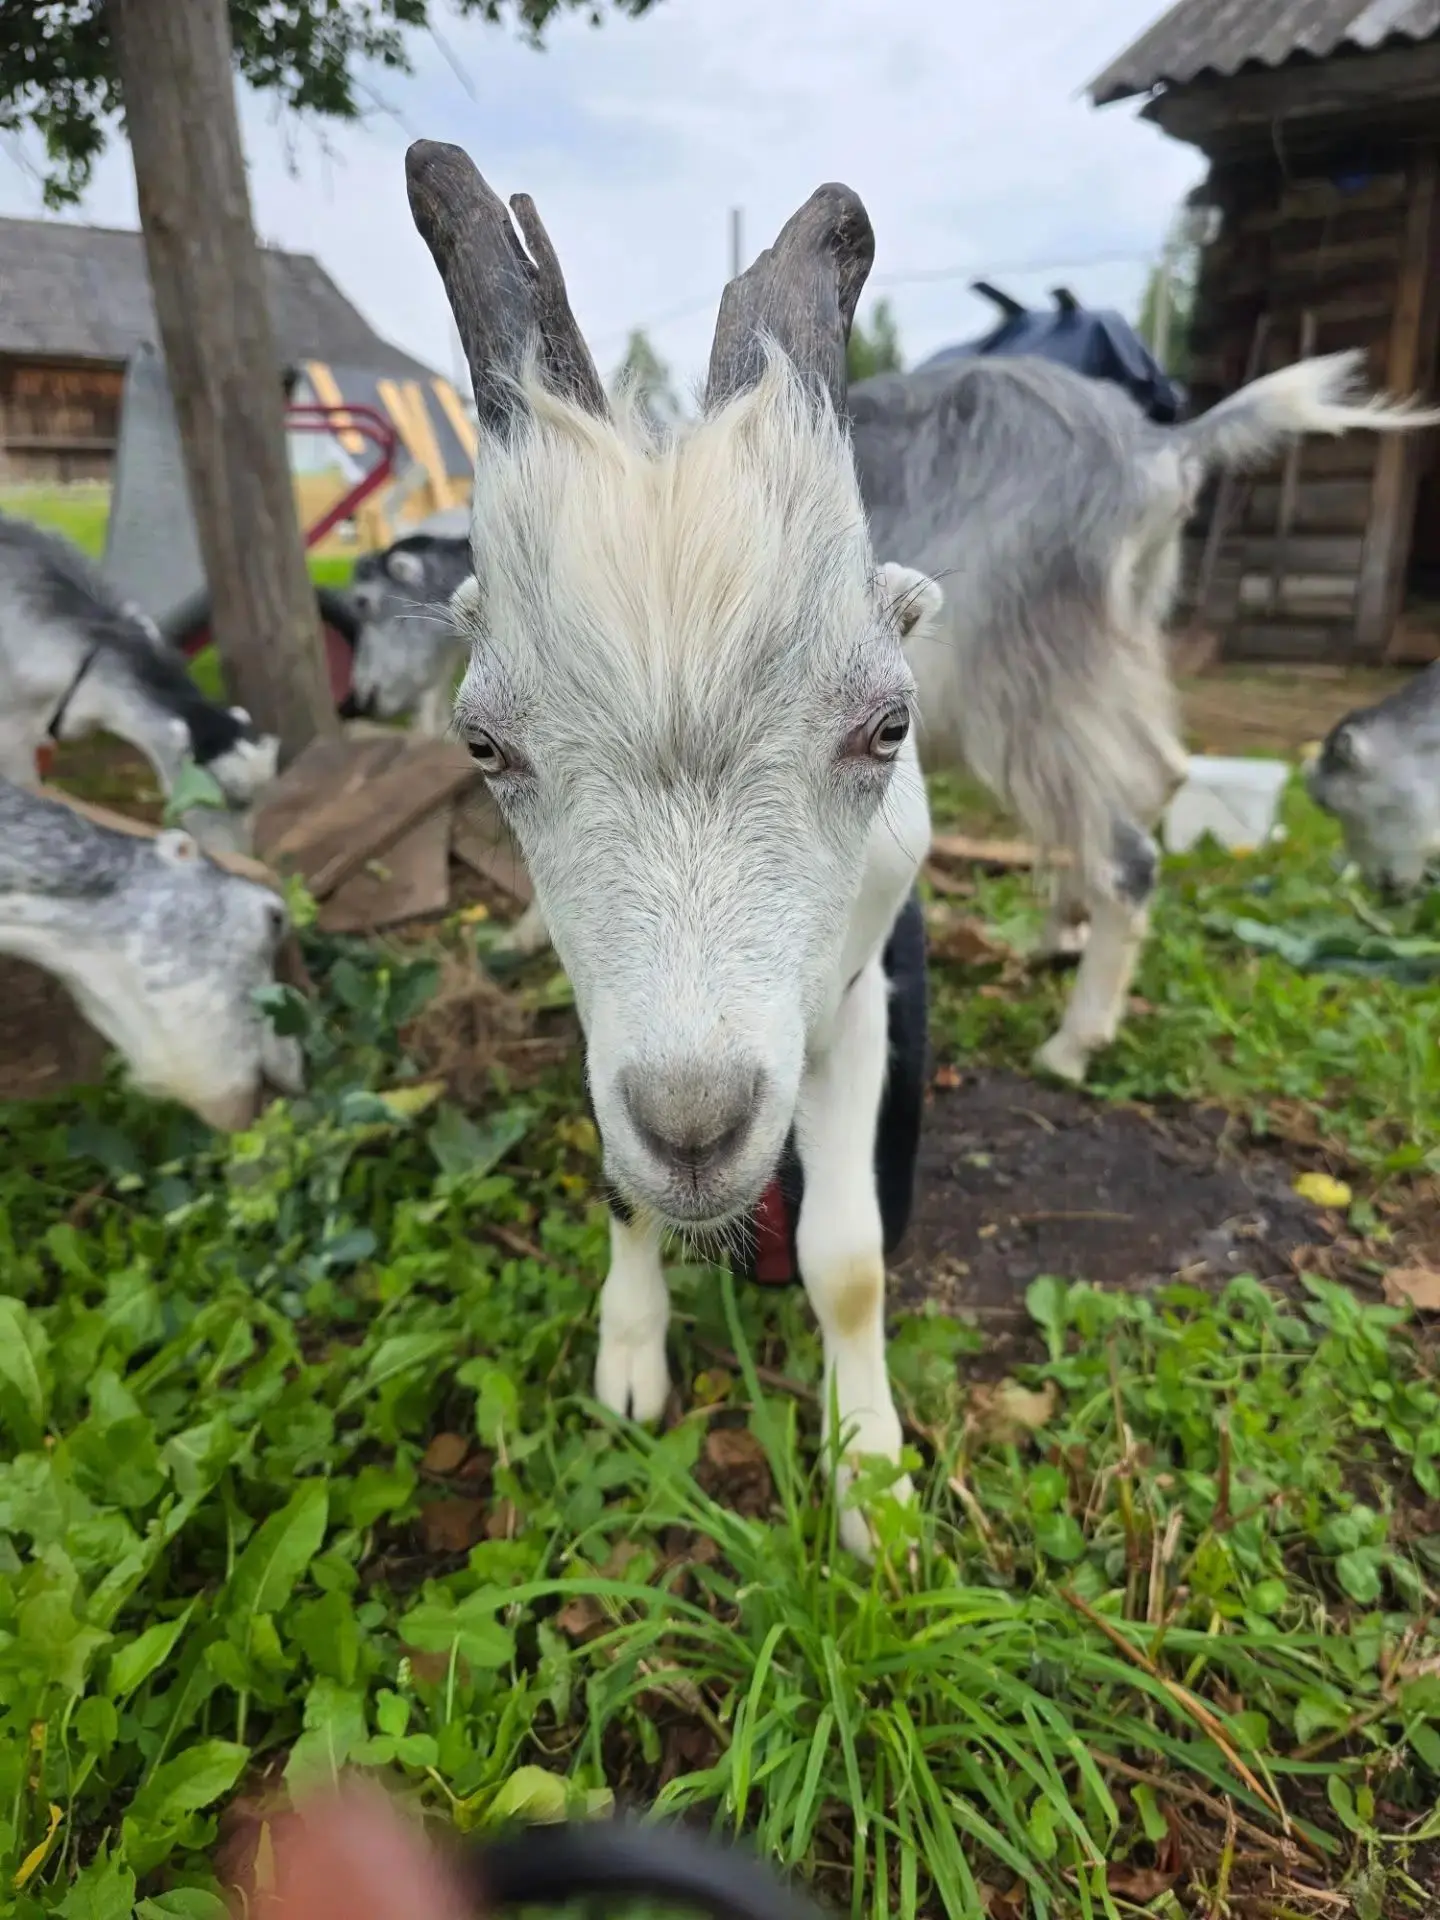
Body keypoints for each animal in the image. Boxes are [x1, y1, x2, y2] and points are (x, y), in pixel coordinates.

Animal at [408, 145, 928, 1554]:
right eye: (484, 745)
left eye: (889, 724)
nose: (697, 1128)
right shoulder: (606, 1023)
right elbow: (616, 1177)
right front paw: (632, 1357)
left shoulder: (854, 1002)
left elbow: (848, 1264)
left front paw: (874, 1484)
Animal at [853, 351, 1440, 1084]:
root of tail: (1160, 449)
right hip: (1105, 650)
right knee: (1157, 775)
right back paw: (1063, 933)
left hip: (1019, 675)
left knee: (1126, 850)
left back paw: (1073, 1044)